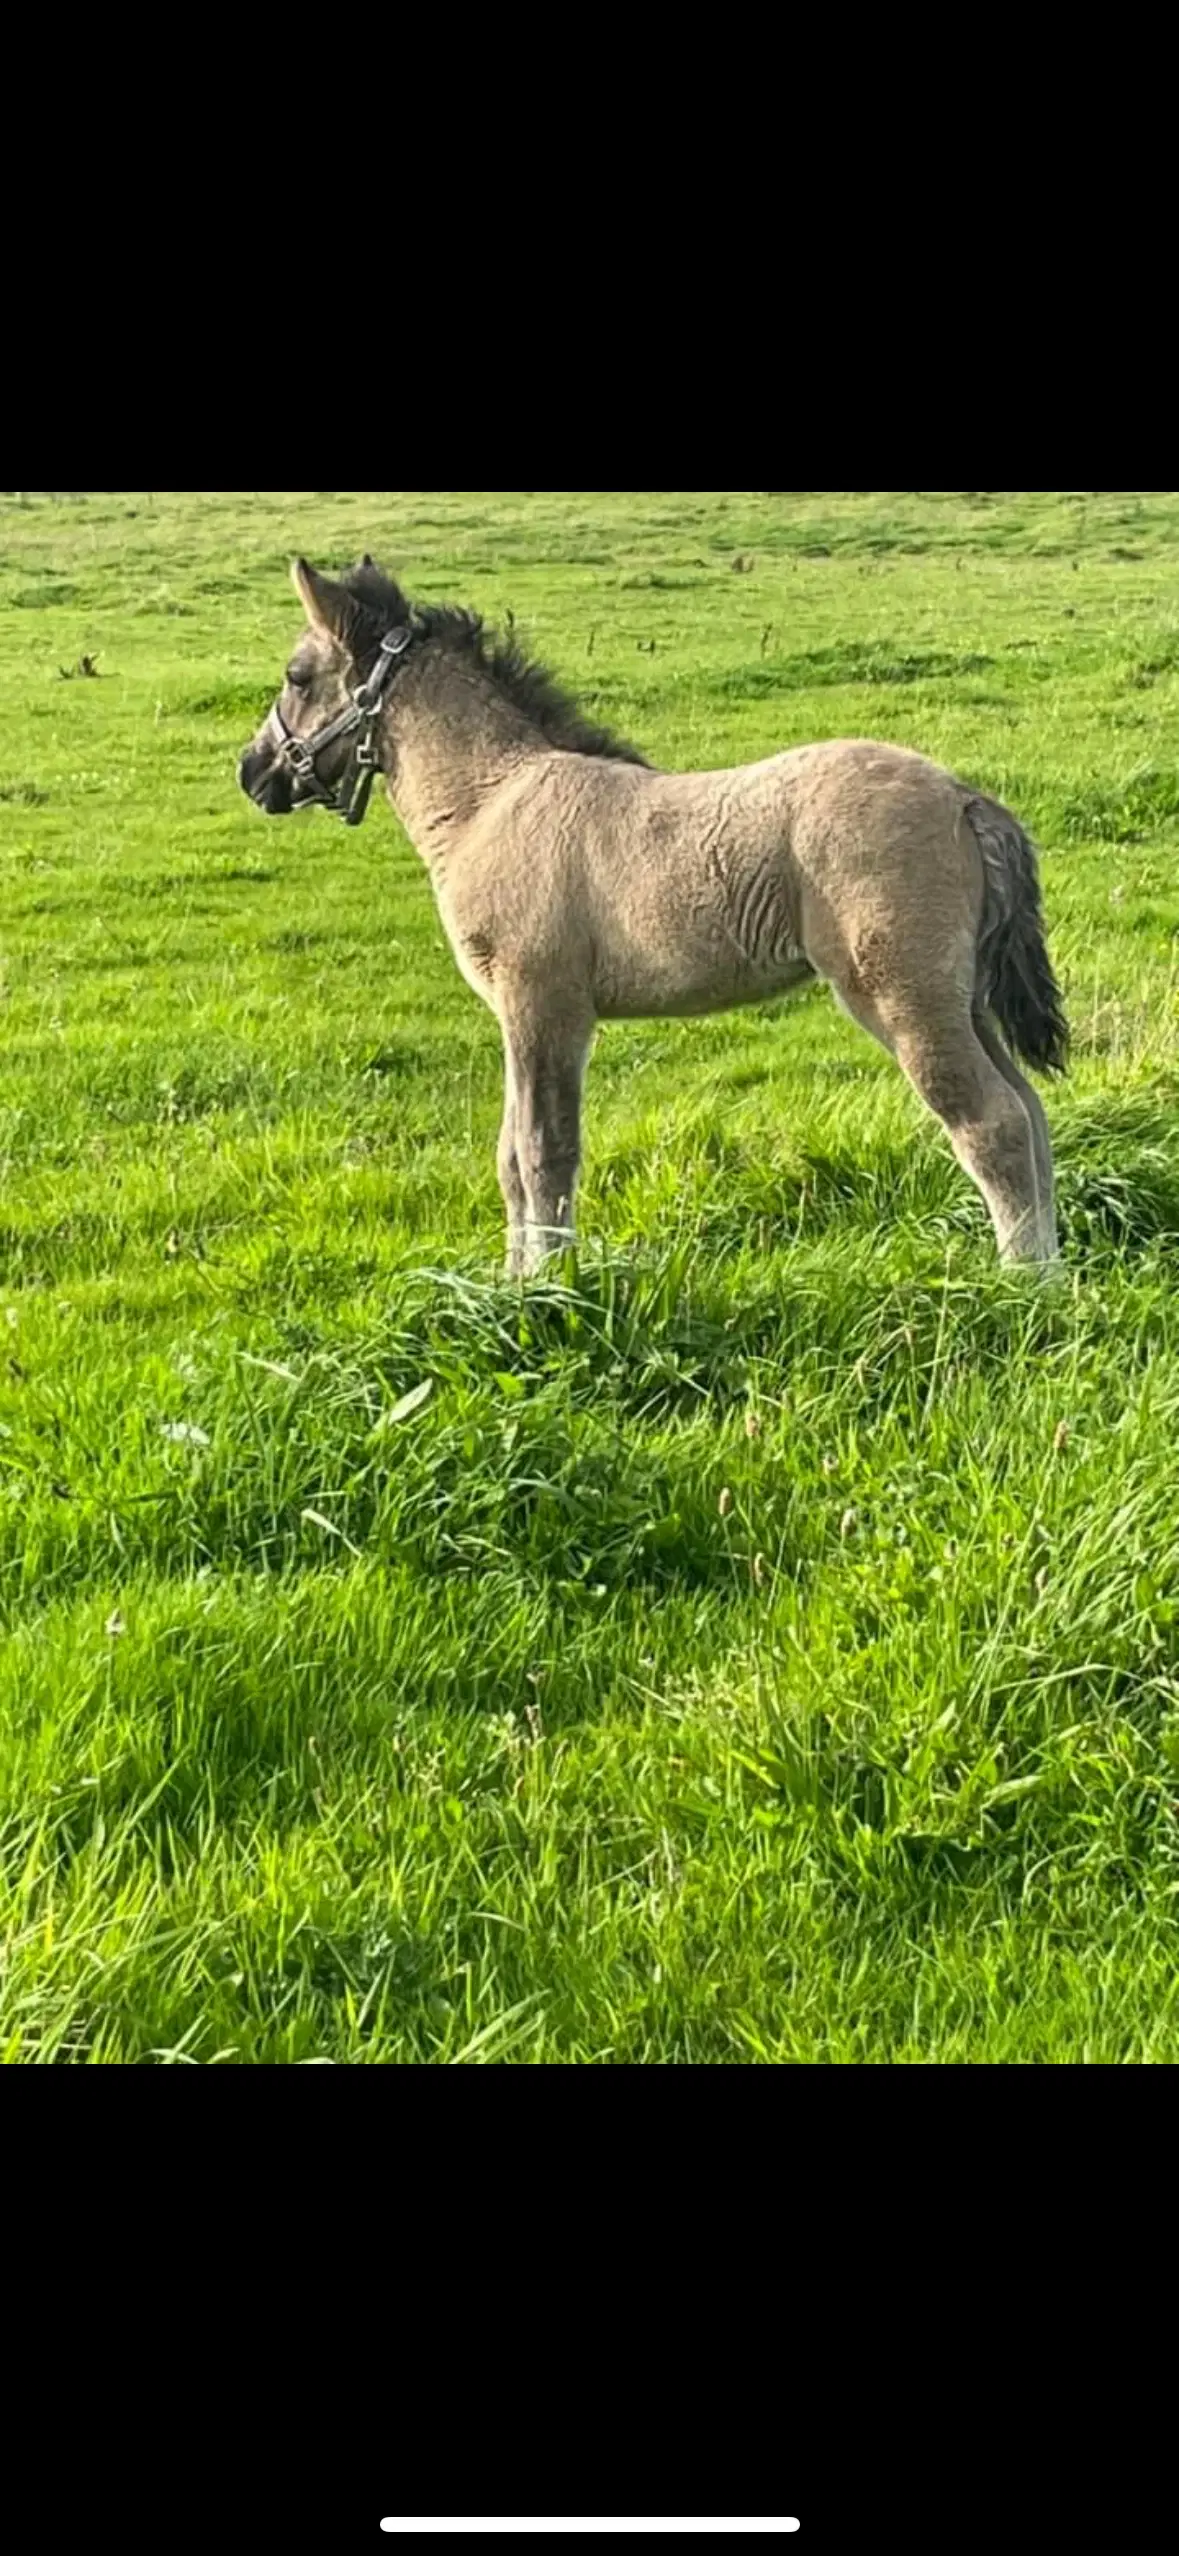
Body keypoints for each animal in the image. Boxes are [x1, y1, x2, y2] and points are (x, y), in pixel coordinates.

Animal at [239, 559, 1063, 1278]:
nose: (253, 772)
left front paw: (549, 1286)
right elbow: (508, 1156)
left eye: (296, 676)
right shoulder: (514, 1015)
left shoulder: (544, 1005)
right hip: (961, 998)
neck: (488, 802)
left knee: (989, 1121)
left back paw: (1025, 1284)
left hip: (900, 994)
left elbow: (544, 1150)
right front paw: (512, 1282)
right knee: (1029, 1109)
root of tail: (965, 798)